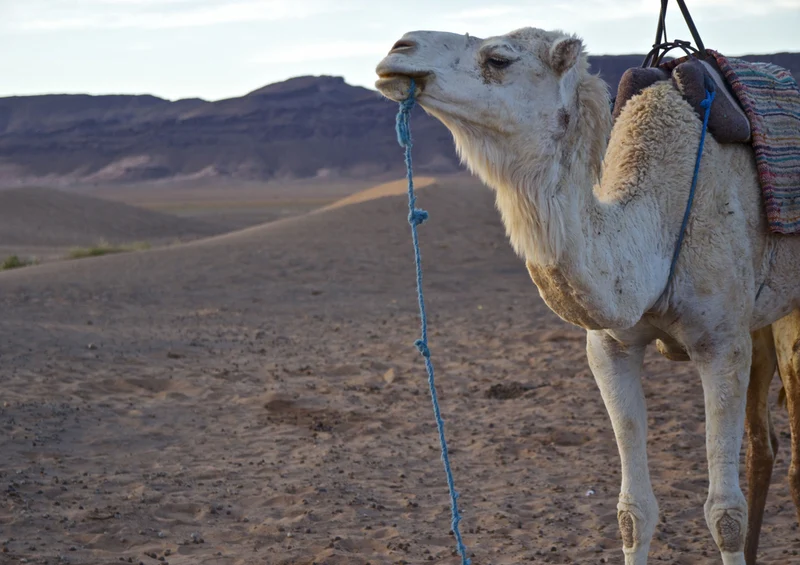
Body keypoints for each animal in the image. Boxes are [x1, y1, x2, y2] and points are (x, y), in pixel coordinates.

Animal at [374, 27, 800, 564]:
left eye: (498, 58)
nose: (399, 48)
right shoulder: (609, 346)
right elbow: (633, 512)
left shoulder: (721, 343)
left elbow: (724, 514)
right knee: (764, 444)